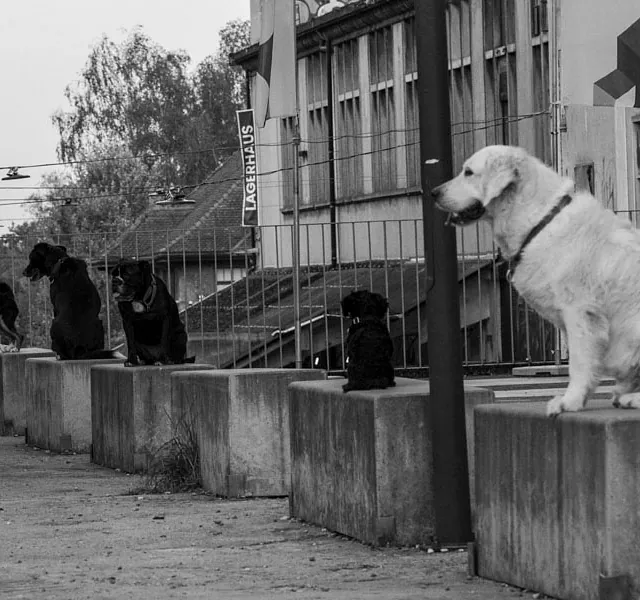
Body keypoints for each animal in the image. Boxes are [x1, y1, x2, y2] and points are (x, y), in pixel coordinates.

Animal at [432, 146, 640, 418]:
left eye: (468, 172)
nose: (434, 192)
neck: (539, 221)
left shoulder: (579, 311)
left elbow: (579, 363)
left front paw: (569, 401)